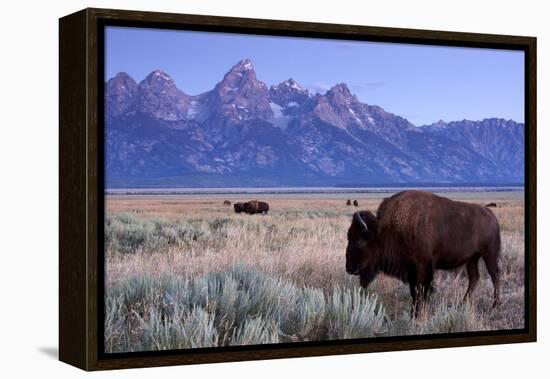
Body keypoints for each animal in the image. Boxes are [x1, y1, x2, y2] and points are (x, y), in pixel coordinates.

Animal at [348, 191, 502, 316]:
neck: (387, 230)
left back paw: (494, 306)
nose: (349, 268)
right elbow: (414, 292)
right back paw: (462, 304)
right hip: (472, 258)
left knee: (495, 275)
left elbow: (421, 291)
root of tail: (491, 215)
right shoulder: (411, 269)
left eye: (359, 242)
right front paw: (414, 314)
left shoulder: (422, 267)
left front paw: (416, 315)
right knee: (474, 277)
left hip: (489, 254)